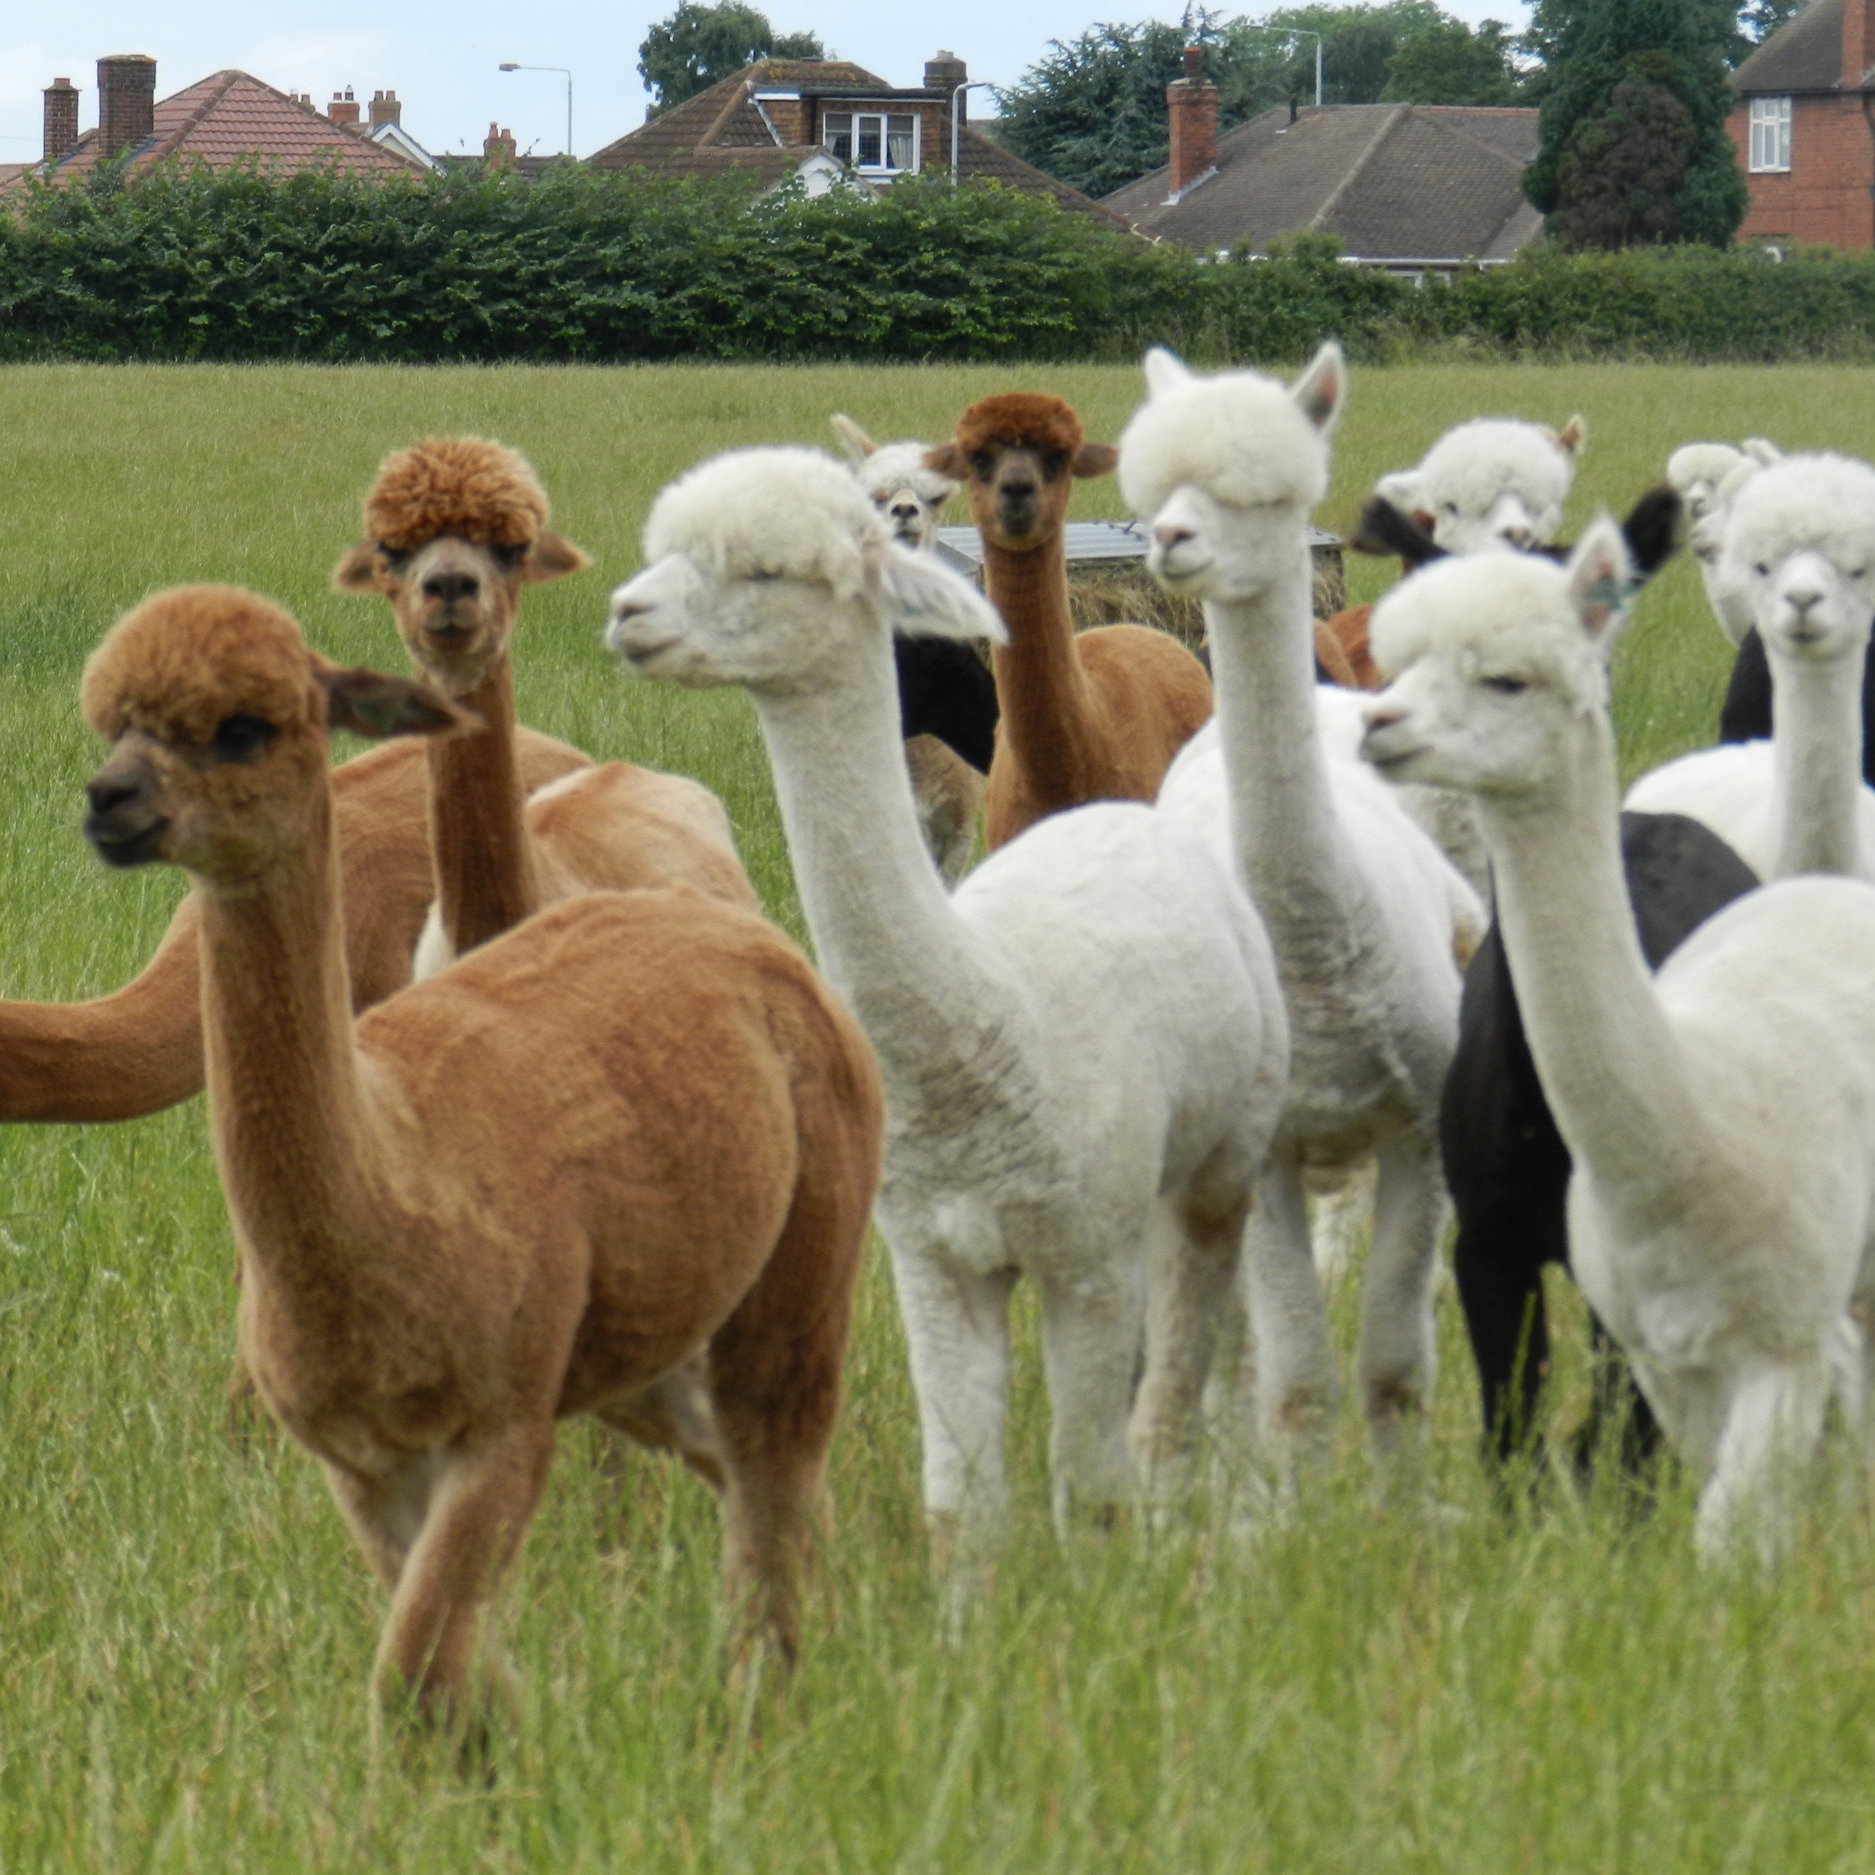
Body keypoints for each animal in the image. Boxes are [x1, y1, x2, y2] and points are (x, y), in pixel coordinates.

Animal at [80, 583, 884, 1728]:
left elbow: (422, 1673)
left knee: (774, 1474)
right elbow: (443, 1681)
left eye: (242, 727)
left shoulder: (498, 1423)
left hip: (805, 1257)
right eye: (111, 726)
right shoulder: (364, 1463)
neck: (394, 1182)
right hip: (642, 1335)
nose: (109, 800)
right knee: (743, 1474)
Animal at [606, 446, 1290, 1573]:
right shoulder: (932, 1257)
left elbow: (1085, 1491)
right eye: (663, 548)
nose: (626, 612)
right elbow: (961, 1508)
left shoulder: (1082, 1253)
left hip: (1220, 1159)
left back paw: (1242, 1517)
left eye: (767, 570)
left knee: (1221, 1344)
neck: (984, 1021)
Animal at [1361, 526, 1875, 1563]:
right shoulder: (1553, 1283)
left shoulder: (1764, 1341)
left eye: (1507, 678)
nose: (1377, 722)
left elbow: (1694, 1516)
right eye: (1395, 657)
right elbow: (1525, 1443)